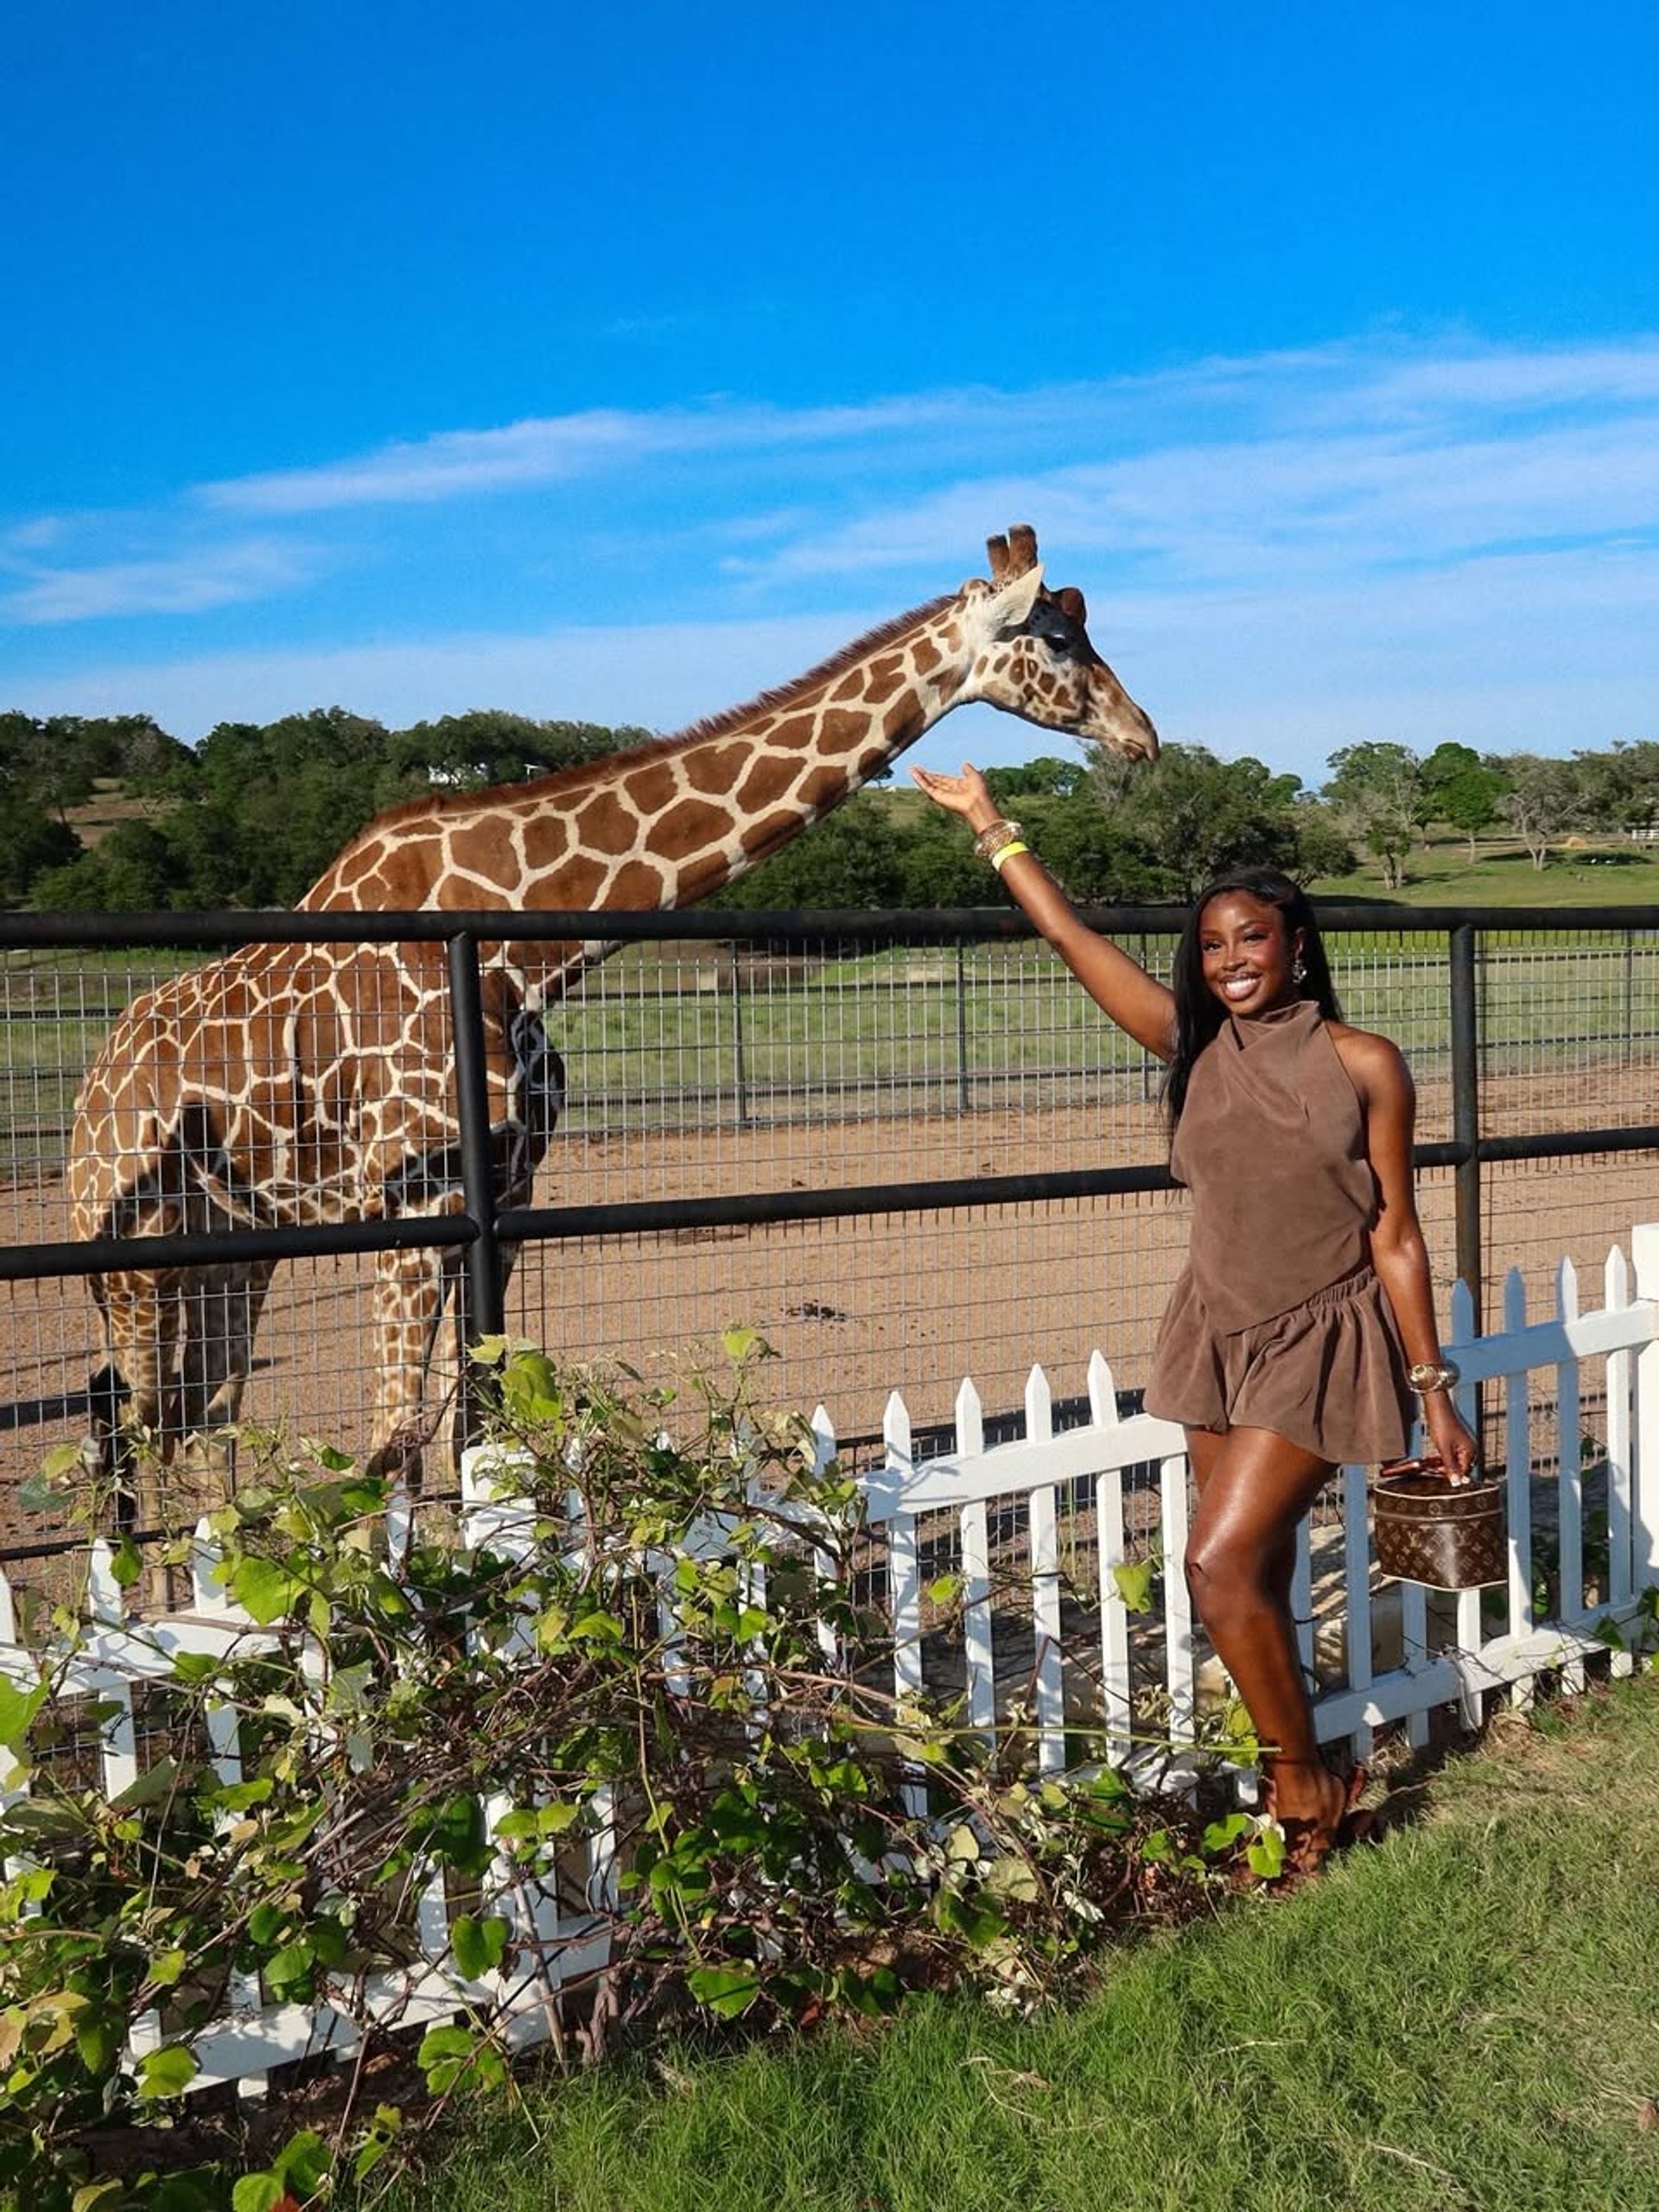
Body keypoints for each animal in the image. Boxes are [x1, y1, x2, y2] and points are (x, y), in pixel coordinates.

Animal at [68, 526, 1158, 1529]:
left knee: (199, 1424)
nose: (1142, 732)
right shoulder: (416, 1195)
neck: (523, 947)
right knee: (135, 1427)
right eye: (1057, 637)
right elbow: (393, 1445)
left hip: (234, 1243)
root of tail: (94, 1078)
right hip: (125, 1247)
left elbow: (475, 1424)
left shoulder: (504, 1193)